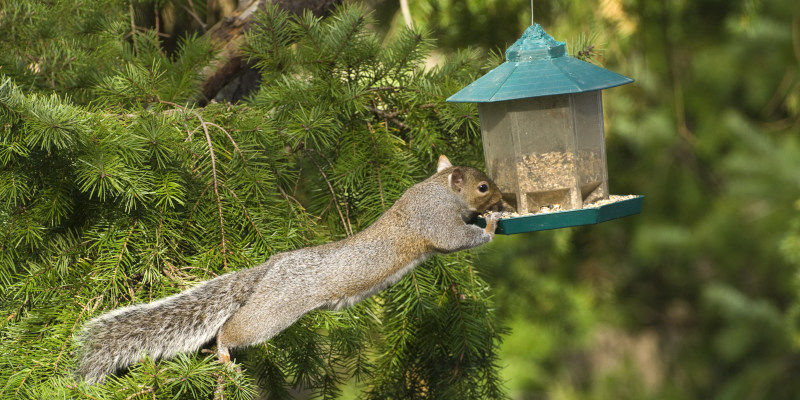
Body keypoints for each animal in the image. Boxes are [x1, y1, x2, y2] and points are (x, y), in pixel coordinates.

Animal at [75, 155, 505, 384]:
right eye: (483, 187)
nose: (504, 196)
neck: (437, 189)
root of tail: (270, 268)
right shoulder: (435, 223)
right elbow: (457, 240)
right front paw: (491, 226)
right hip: (273, 311)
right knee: (231, 330)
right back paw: (225, 355)